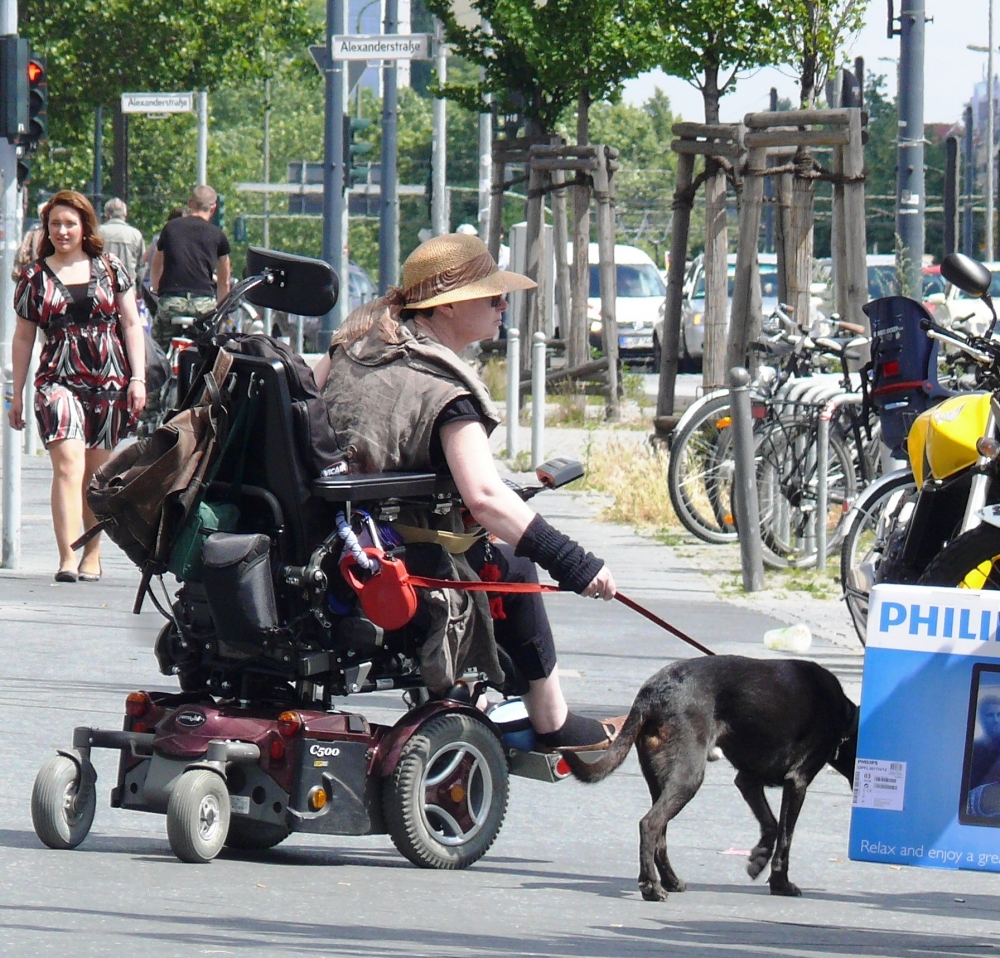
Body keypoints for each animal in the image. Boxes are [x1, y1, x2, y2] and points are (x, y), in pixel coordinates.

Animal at [564, 656, 860, 904]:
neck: (847, 718)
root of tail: (652, 692)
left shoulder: (748, 781)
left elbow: (771, 824)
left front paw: (758, 859)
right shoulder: (797, 782)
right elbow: (785, 838)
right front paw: (781, 884)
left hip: (661, 778)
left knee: (660, 836)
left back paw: (670, 882)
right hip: (688, 775)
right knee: (649, 824)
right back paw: (651, 887)